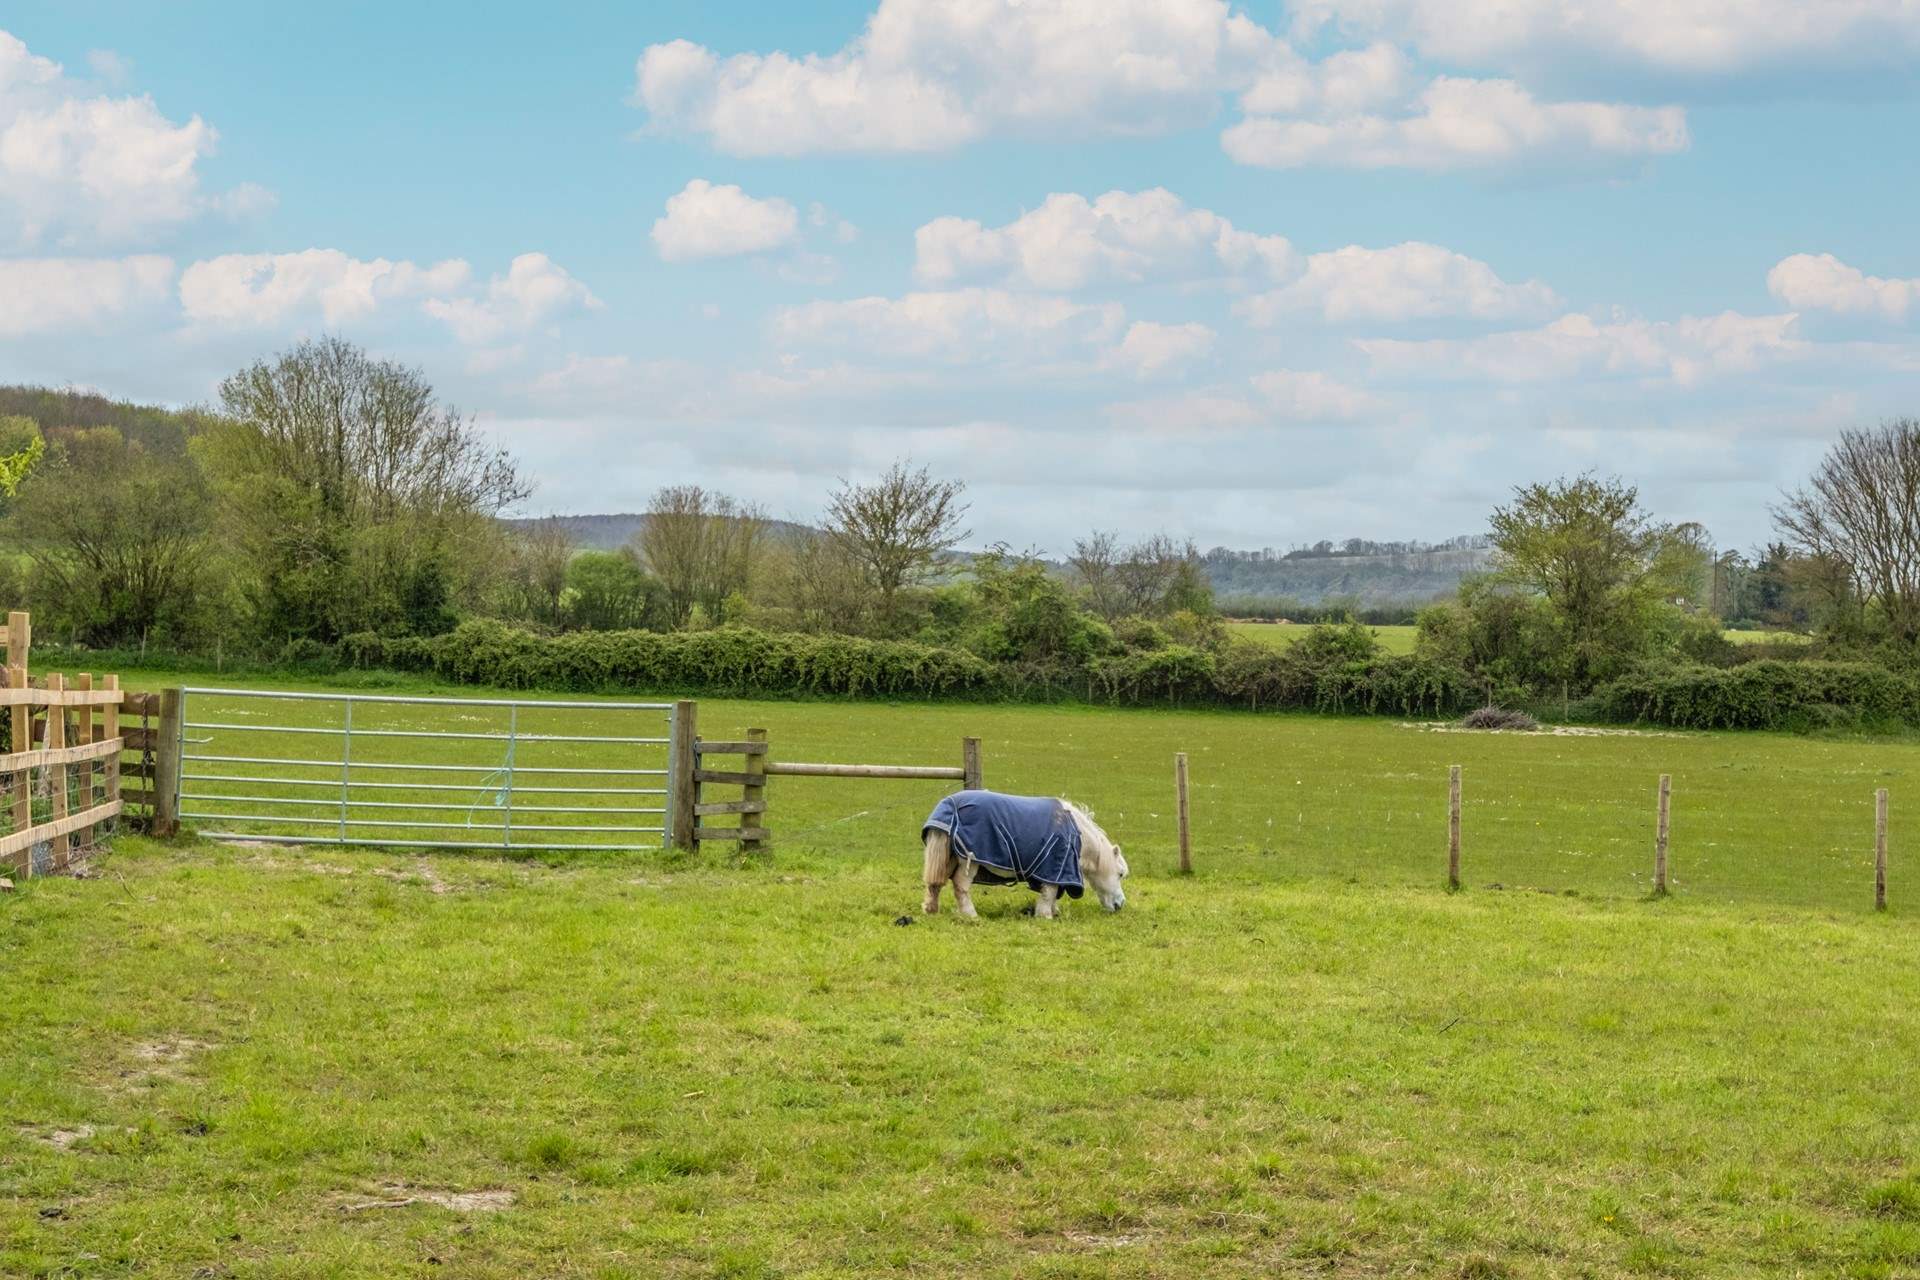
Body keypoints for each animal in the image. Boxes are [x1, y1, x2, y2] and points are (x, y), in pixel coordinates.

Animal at [921, 790, 1129, 918]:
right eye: (1120, 874)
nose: (1120, 904)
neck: (1076, 833)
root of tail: (949, 806)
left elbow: (1052, 893)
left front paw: (1053, 912)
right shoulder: (1053, 866)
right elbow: (1049, 892)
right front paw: (1045, 915)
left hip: (948, 858)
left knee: (935, 884)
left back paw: (931, 909)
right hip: (969, 860)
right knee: (960, 885)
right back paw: (971, 915)